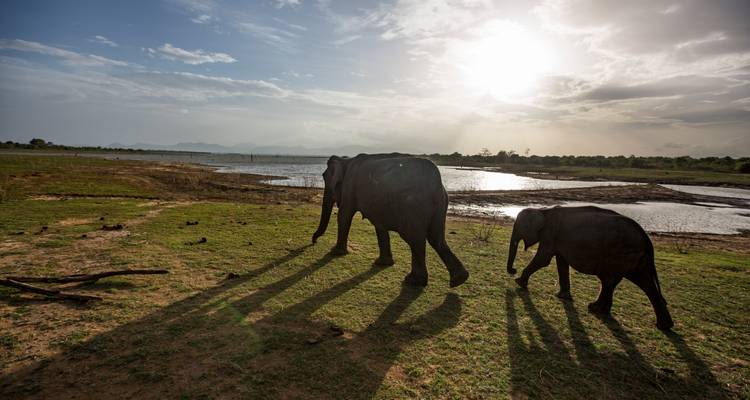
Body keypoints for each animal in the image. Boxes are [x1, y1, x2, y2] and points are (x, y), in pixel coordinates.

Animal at [311, 153, 469, 288]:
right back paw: (459, 280)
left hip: (412, 207)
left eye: (324, 177)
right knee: (437, 239)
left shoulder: (349, 187)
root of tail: (437, 181)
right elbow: (379, 225)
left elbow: (344, 215)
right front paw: (382, 263)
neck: (346, 160)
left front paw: (335, 253)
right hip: (441, 204)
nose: (314, 241)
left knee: (416, 240)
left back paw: (413, 281)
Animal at [506, 206, 674, 330]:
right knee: (640, 282)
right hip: (634, 258)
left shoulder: (550, 234)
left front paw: (518, 282)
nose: (513, 270)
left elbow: (543, 259)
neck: (543, 210)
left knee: (612, 280)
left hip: (622, 253)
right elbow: (561, 263)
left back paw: (595, 308)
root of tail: (647, 238)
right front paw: (563, 296)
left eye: (520, 227)